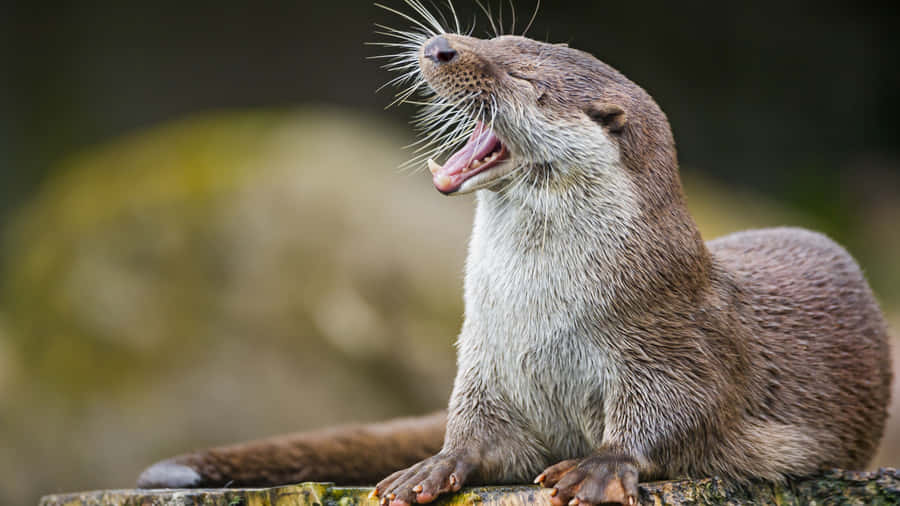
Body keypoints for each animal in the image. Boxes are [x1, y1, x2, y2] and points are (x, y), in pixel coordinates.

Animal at [137, 4, 892, 505]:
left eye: (524, 79)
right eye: (495, 38)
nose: (443, 46)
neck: (539, 312)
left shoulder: (672, 338)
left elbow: (679, 413)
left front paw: (599, 465)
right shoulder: (484, 359)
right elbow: (478, 432)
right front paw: (436, 464)